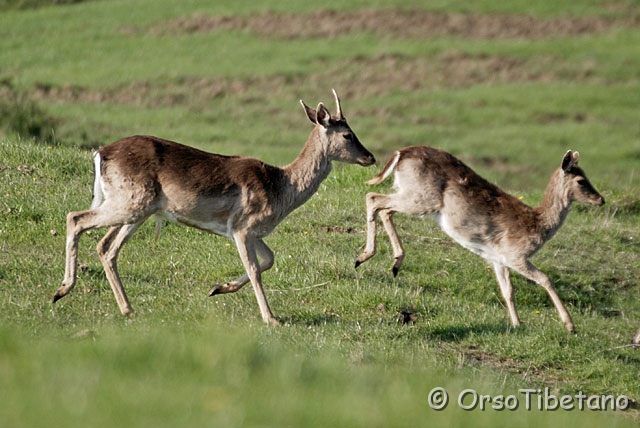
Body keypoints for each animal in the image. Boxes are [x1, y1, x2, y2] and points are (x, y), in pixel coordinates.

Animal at [56, 89, 376, 324]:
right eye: (348, 134)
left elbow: (269, 259)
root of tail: (100, 153)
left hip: (136, 208)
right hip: (130, 202)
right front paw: (271, 318)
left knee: (106, 247)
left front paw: (219, 289)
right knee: (76, 217)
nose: (370, 157)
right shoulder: (243, 225)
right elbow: (255, 268)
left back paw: (127, 308)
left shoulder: (249, 231)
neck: (281, 188)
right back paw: (62, 290)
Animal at [356, 146, 604, 332]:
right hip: (421, 198)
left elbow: (507, 291)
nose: (601, 199)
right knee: (373, 197)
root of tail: (400, 153)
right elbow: (545, 278)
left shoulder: (497, 259)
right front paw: (570, 325)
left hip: (413, 196)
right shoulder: (515, 254)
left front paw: (517, 324)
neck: (538, 225)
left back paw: (394, 262)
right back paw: (364, 257)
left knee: (384, 208)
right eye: (581, 180)